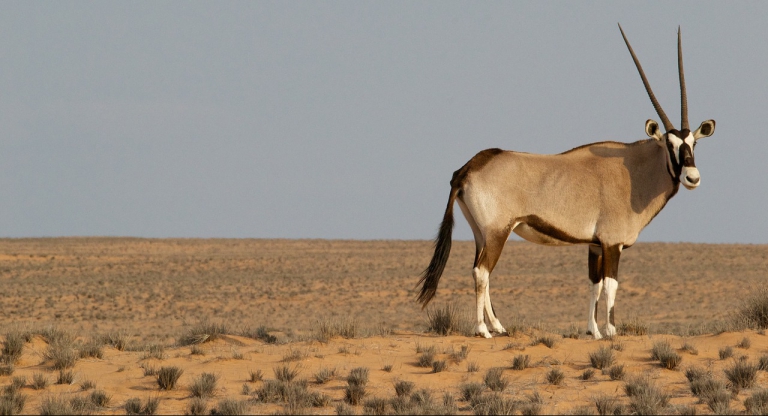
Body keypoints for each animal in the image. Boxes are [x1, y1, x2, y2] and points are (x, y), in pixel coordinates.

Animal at [416, 25, 716, 338]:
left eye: (693, 143)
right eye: (669, 145)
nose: (692, 177)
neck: (633, 170)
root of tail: (467, 168)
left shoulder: (595, 245)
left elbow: (594, 285)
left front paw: (593, 331)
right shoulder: (612, 244)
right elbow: (611, 286)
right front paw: (611, 331)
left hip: (481, 234)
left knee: (479, 269)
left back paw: (498, 326)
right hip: (498, 232)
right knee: (482, 272)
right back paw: (483, 329)